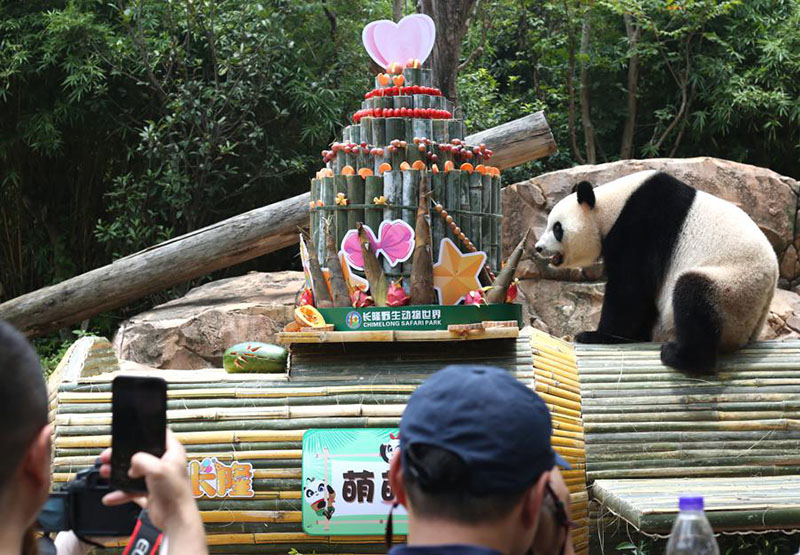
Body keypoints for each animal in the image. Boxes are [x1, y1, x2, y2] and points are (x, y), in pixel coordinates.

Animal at [536, 169, 780, 376]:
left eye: (557, 228)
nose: (538, 248)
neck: (610, 207)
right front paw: (635, 336)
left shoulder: (642, 227)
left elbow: (629, 289)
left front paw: (595, 335)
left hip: (733, 287)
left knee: (693, 295)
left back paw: (679, 357)